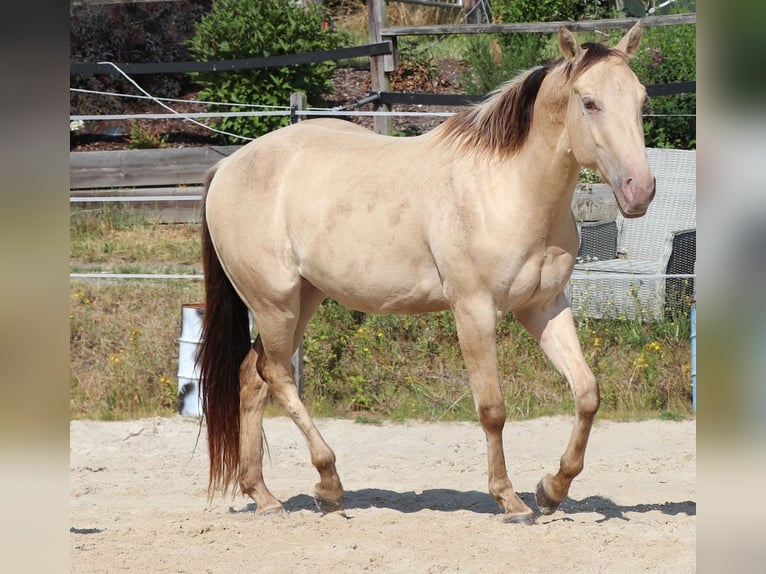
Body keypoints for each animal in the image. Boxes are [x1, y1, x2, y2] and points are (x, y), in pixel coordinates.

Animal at [197, 21, 654, 525]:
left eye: (641, 99)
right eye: (589, 102)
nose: (640, 190)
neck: (506, 190)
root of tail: (228, 166)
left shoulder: (544, 308)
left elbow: (587, 393)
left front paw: (551, 490)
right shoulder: (473, 311)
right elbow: (492, 408)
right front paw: (509, 500)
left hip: (303, 300)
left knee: (252, 376)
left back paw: (264, 495)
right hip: (274, 304)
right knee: (276, 375)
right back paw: (329, 484)